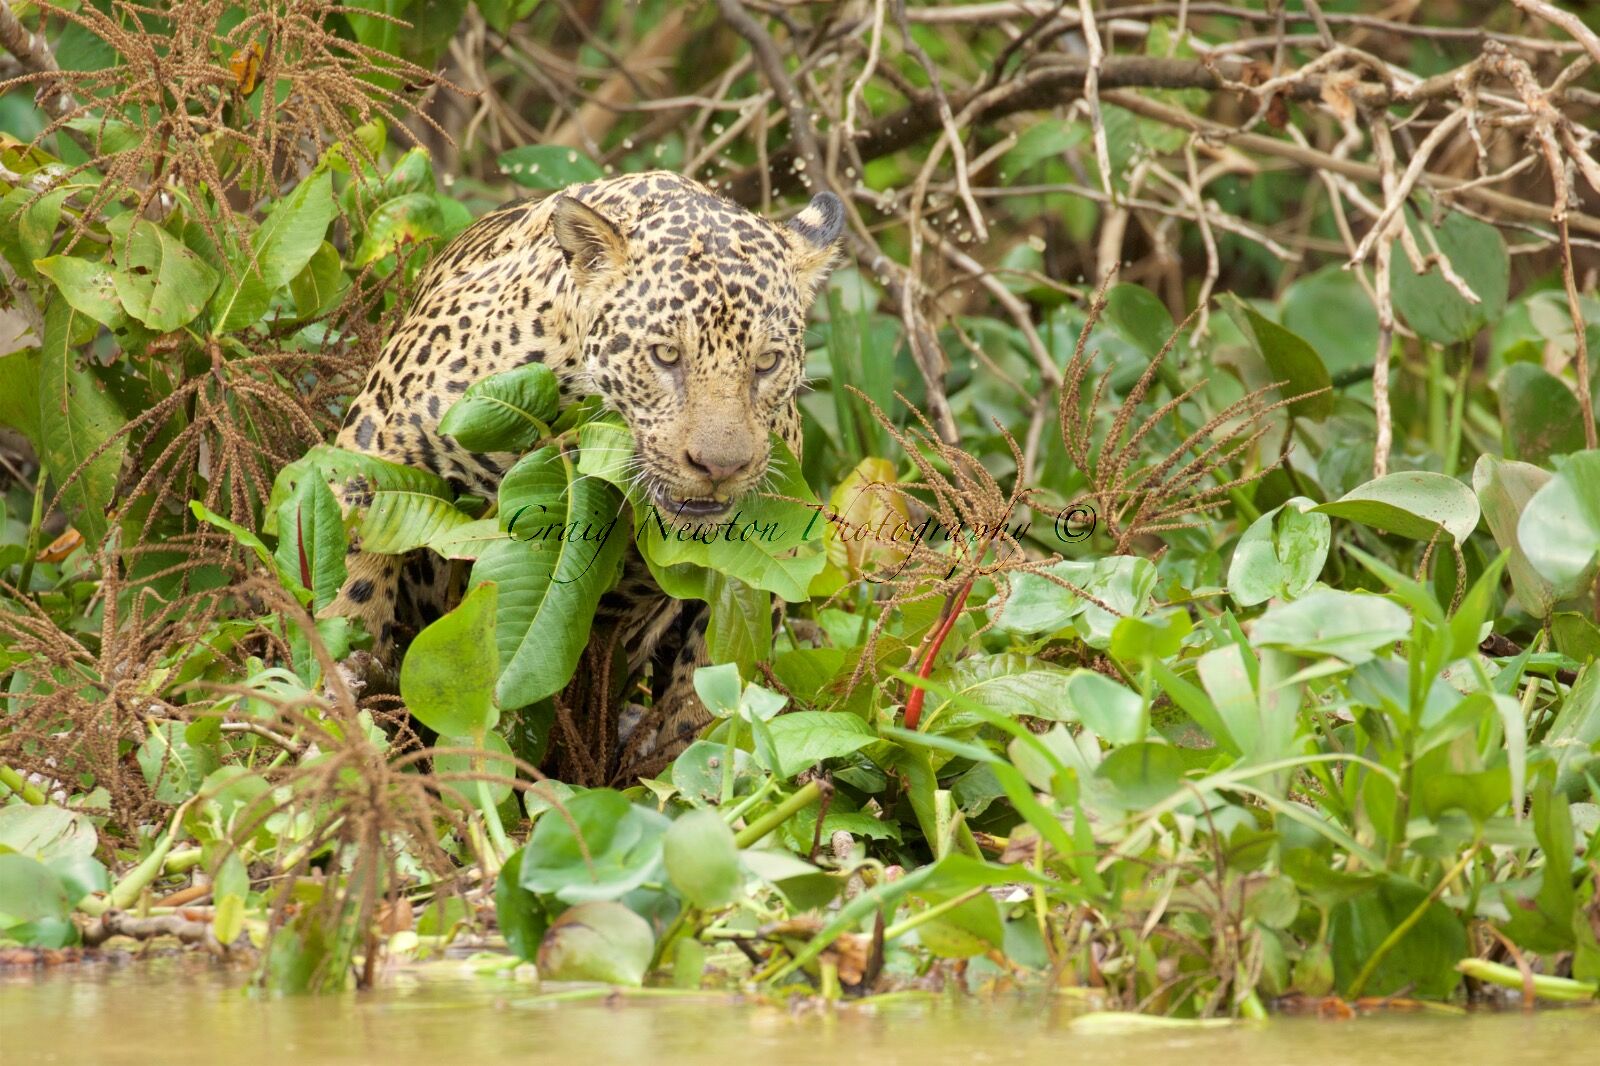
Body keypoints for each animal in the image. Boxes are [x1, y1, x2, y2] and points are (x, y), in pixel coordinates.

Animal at [322, 170, 844, 782]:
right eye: (665, 354)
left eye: (766, 363)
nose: (720, 467)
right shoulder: (378, 440)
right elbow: (353, 582)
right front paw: (345, 710)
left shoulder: (763, 570)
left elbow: (711, 689)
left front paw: (689, 770)